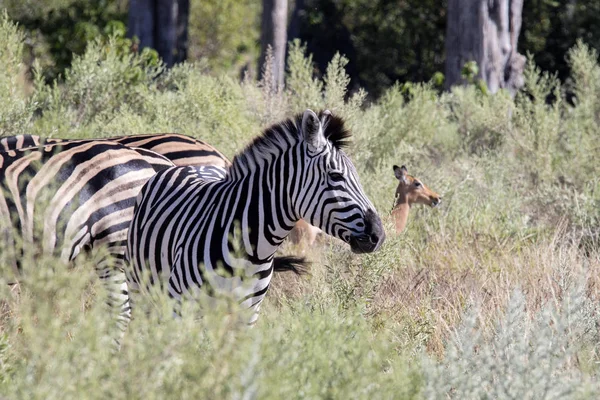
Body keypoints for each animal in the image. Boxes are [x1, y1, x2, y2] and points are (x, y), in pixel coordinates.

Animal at [126, 109, 384, 324]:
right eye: (335, 176)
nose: (378, 235)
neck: (252, 251)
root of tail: (181, 166)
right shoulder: (182, 307)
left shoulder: (247, 315)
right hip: (139, 287)